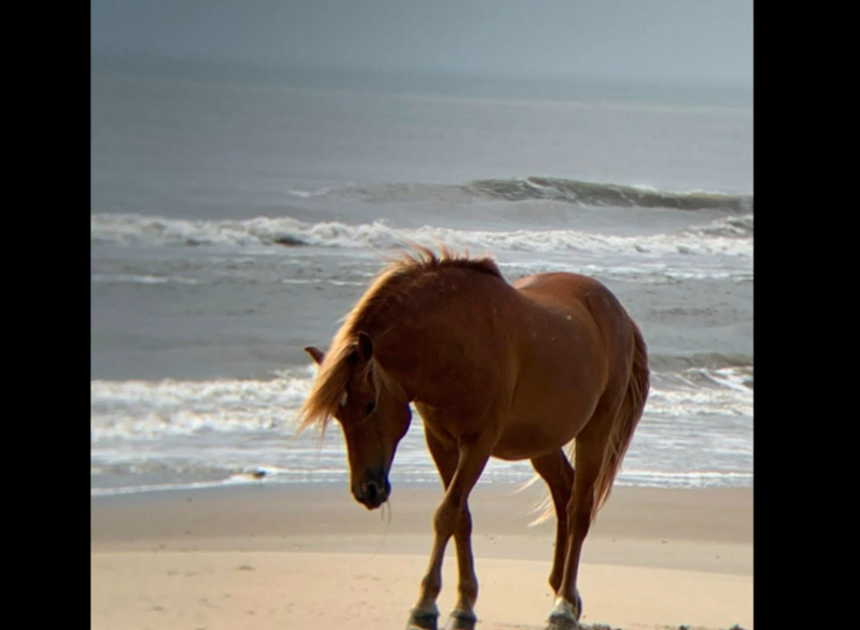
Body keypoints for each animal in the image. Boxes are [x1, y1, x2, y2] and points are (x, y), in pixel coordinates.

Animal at [298, 247, 649, 630]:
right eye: (338, 414)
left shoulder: (477, 444)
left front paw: (425, 604)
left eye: (369, 404)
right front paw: (463, 603)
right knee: (564, 492)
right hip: (542, 441)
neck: (453, 342)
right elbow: (460, 518)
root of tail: (618, 313)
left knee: (579, 509)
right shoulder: (441, 443)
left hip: (595, 431)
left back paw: (564, 605)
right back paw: (562, 588)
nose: (368, 491)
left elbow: (447, 513)